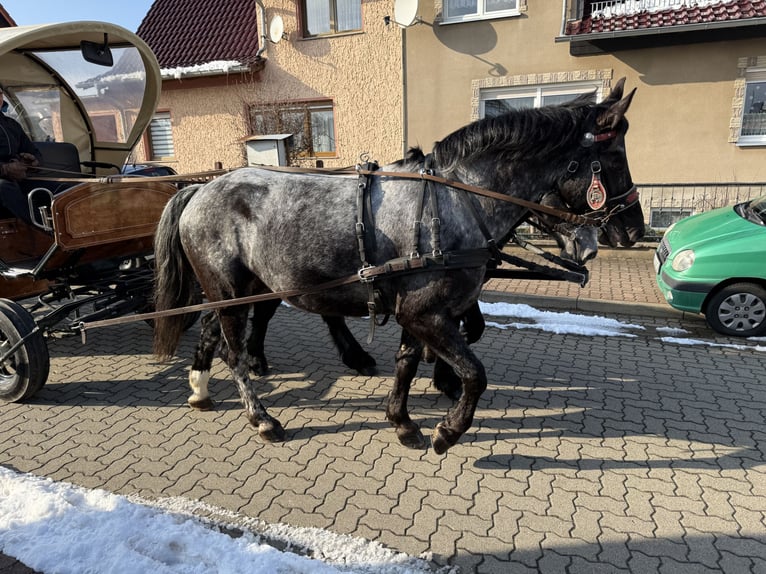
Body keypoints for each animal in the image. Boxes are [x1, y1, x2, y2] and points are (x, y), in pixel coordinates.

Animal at [153, 80, 644, 454]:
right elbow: (474, 374)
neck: (457, 202)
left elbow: (408, 362)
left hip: (244, 287)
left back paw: (200, 389)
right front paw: (447, 429)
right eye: (614, 158)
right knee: (232, 350)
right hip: (231, 290)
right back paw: (263, 418)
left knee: (216, 334)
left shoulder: (421, 311)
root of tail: (201, 189)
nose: (633, 230)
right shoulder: (426, 313)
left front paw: (404, 421)